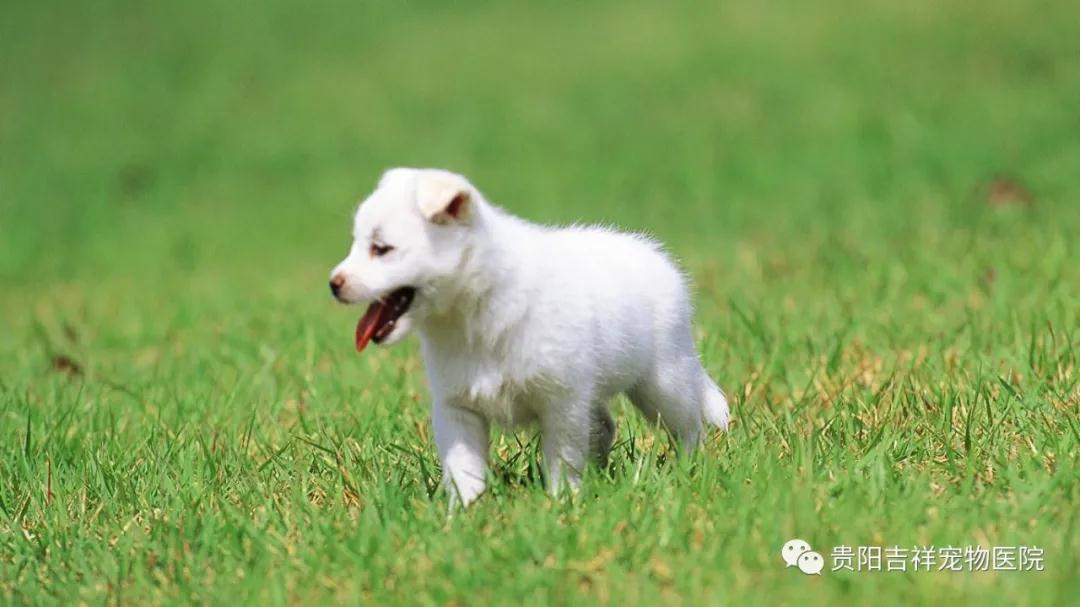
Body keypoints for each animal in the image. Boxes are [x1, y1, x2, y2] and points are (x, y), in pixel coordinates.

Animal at [330, 168, 729, 507]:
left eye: (381, 248)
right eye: (356, 243)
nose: (334, 284)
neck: (475, 311)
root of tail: (655, 255)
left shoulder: (562, 402)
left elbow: (562, 460)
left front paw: (561, 504)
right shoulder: (457, 408)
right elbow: (464, 468)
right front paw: (464, 516)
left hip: (663, 382)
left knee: (689, 425)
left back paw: (689, 470)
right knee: (604, 426)